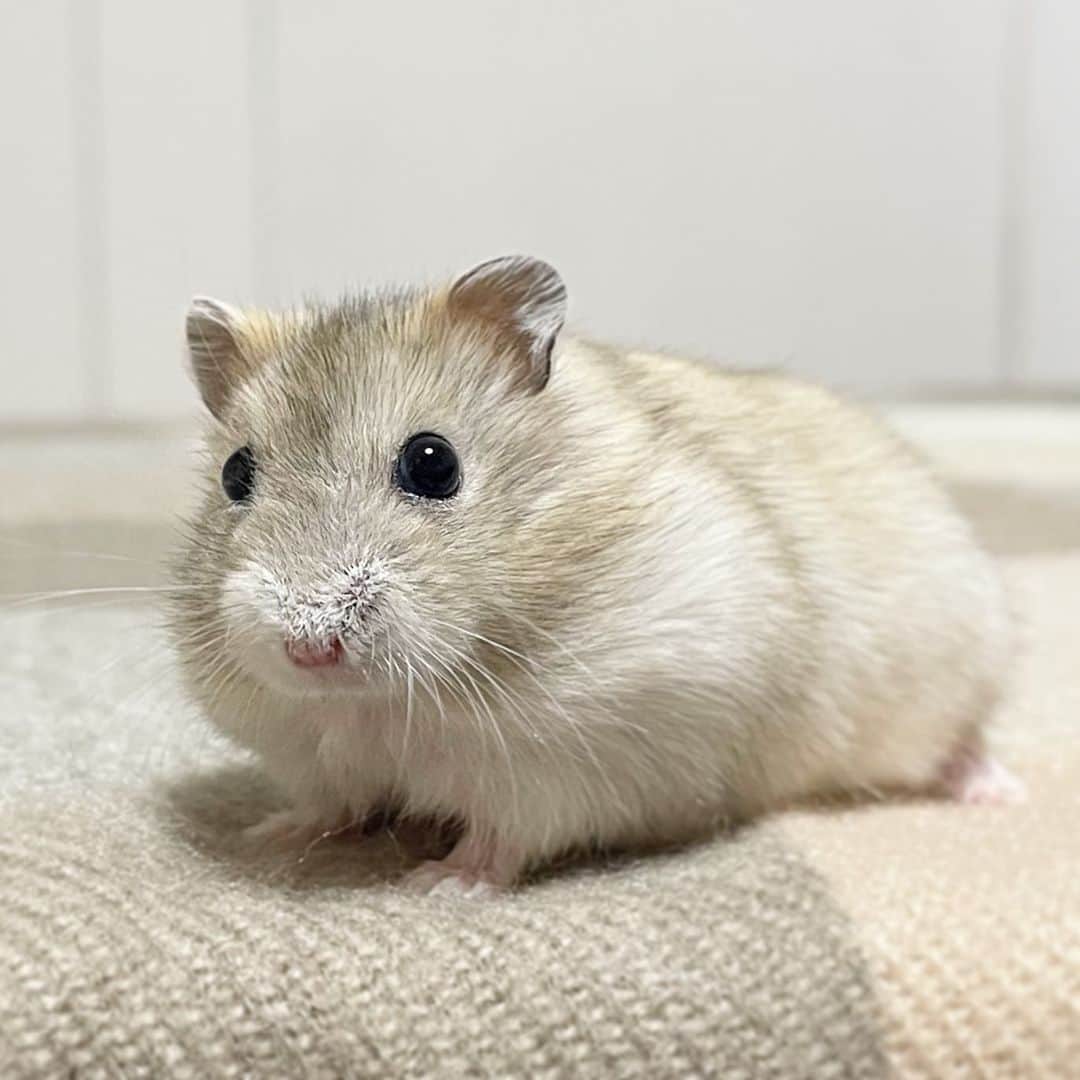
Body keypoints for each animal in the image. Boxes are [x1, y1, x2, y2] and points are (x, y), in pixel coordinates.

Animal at [170, 254, 1020, 895]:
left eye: (433, 464)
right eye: (236, 474)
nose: (308, 647)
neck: (379, 706)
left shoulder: (581, 759)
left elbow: (505, 834)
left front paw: (440, 883)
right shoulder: (308, 754)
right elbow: (327, 805)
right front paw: (263, 835)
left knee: (966, 737)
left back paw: (994, 792)